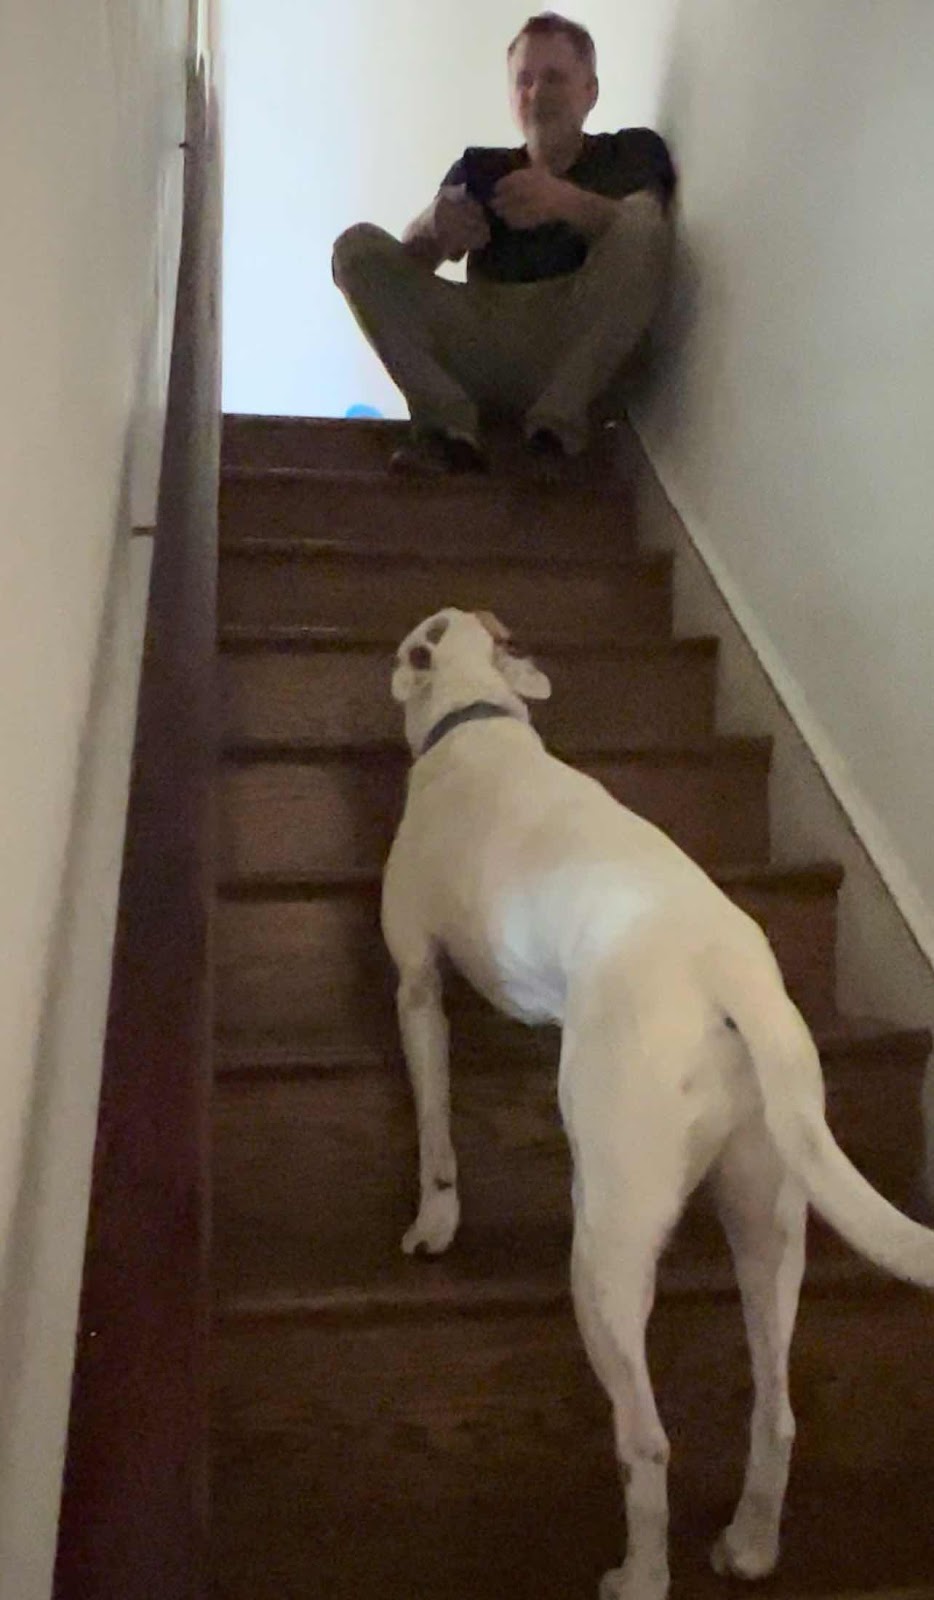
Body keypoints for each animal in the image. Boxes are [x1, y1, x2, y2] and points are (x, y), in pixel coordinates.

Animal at [381, 606, 934, 1600]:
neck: (479, 713)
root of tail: (729, 970)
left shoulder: (415, 983)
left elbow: (436, 1123)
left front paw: (433, 1222)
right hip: (772, 1211)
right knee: (778, 1410)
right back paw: (750, 1545)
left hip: (606, 1243)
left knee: (646, 1440)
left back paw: (638, 1574)